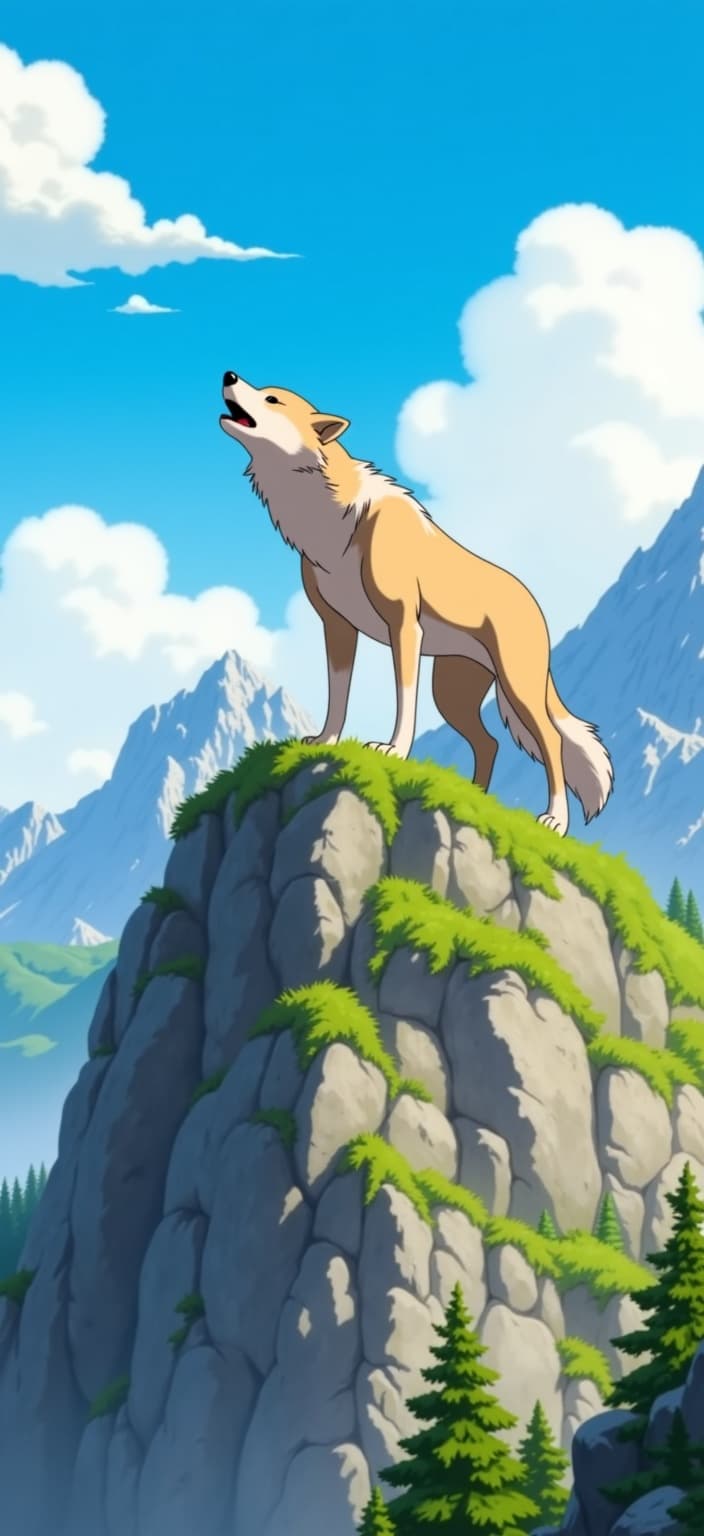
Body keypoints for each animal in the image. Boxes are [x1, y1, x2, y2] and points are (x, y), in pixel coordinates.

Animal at [219, 368, 614, 836]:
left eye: (273, 399)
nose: (228, 374)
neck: (332, 522)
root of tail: (533, 601)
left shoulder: (404, 625)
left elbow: (403, 700)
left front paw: (393, 750)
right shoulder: (337, 628)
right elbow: (337, 699)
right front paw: (325, 742)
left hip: (516, 689)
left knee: (551, 742)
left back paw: (554, 819)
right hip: (452, 695)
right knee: (489, 743)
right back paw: (474, 799)